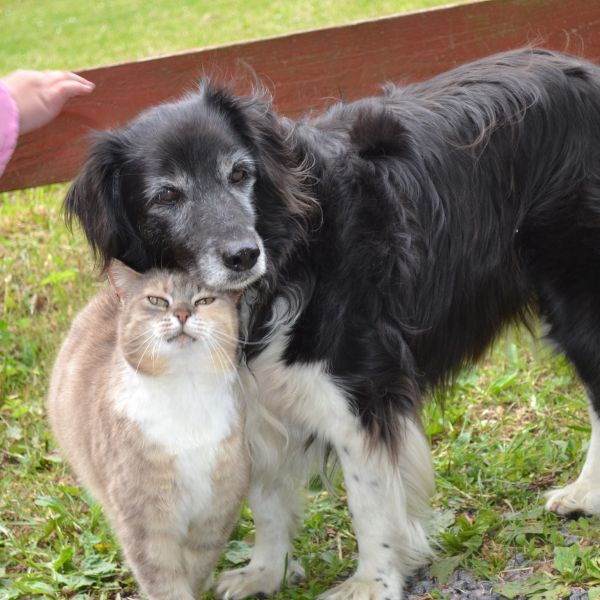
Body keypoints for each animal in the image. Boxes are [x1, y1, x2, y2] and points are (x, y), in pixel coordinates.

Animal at [46, 258, 248, 600]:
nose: (182, 313)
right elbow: (165, 582)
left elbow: (197, 567)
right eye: (157, 300)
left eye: (205, 300)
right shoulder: (145, 523)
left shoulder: (216, 512)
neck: (185, 393)